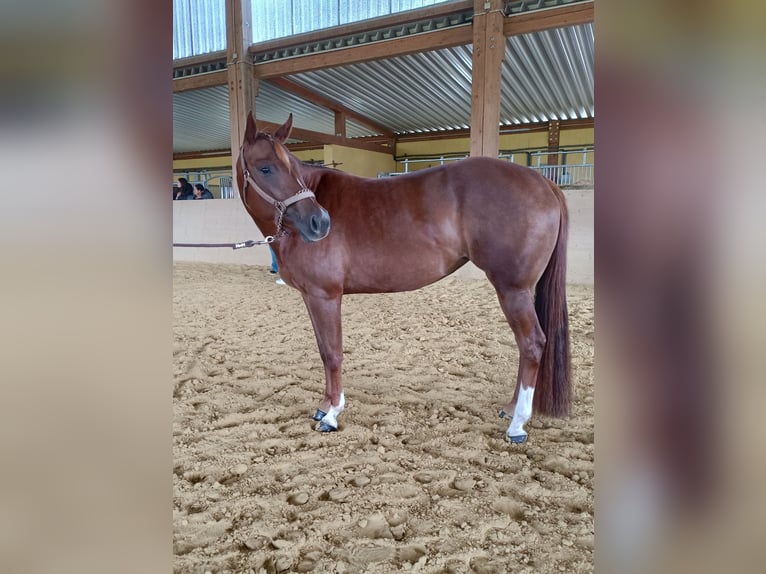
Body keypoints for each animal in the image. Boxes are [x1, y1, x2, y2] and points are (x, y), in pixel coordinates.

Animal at [238, 113, 568, 446]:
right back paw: (510, 409)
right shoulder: (311, 296)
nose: (320, 222)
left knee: (531, 344)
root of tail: (544, 182)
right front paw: (323, 407)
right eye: (266, 168)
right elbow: (322, 349)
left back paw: (517, 425)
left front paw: (331, 415)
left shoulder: (325, 296)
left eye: (292, 167)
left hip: (513, 289)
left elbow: (333, 353)